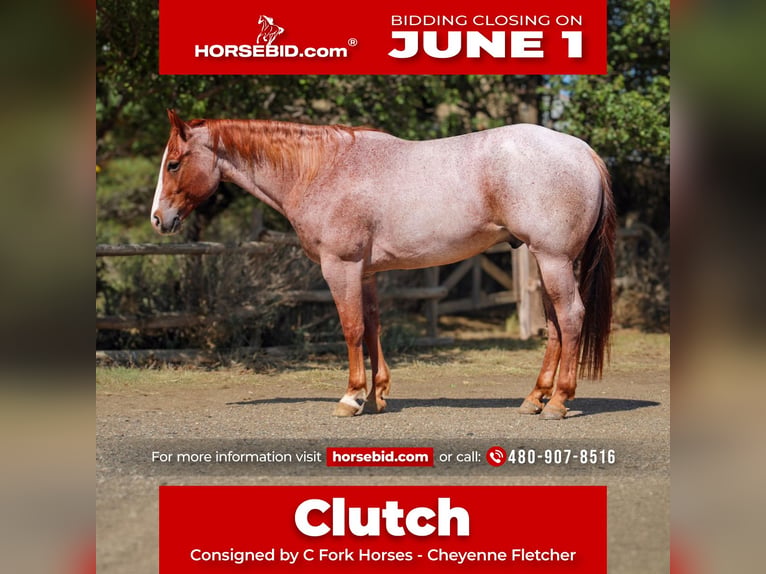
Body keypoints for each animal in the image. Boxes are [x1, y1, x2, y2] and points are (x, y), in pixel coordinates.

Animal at [151, 109, 616, 420]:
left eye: (174, 163)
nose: (158, 219)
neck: (323, 170)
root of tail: (582, 151)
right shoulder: (367, 272)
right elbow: (373, 326)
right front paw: (377, 395)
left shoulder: (340, 267)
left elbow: (352, 328)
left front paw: (351, 397)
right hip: (545, 260)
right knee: (554, 325)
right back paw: (534, 399)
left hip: (553, 259)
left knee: (570, 317)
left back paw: (558, 401)